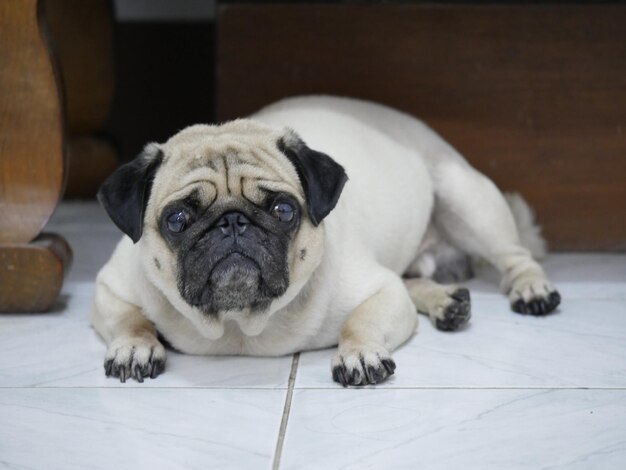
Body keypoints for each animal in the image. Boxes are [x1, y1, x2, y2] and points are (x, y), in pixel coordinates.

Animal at [91, 94, 560, 386]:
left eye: (283, 210)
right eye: (178, 219)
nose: (232, 223)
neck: (240, 323)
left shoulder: (381, 290)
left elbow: (360, 321)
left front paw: (360, 353)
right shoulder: (109, 288)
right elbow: (129, 318)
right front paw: (134, 347)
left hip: (466, 197)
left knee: (516, 256)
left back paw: (531, 289)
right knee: (414, 278)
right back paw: (445, 301)